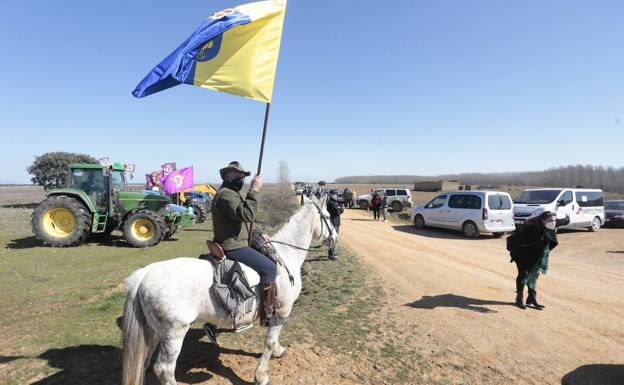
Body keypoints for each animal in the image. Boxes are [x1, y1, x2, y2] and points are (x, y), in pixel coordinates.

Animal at [122, 195, 336, 384]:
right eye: (327, 215)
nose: (334, 236)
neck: (285, 256)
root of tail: (145, 274)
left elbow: (274, 339)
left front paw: (278, 351)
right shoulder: (282, 309)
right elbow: (270, 340)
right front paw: (261, 376)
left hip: (151, 331)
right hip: (173, 333)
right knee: (164, 370)